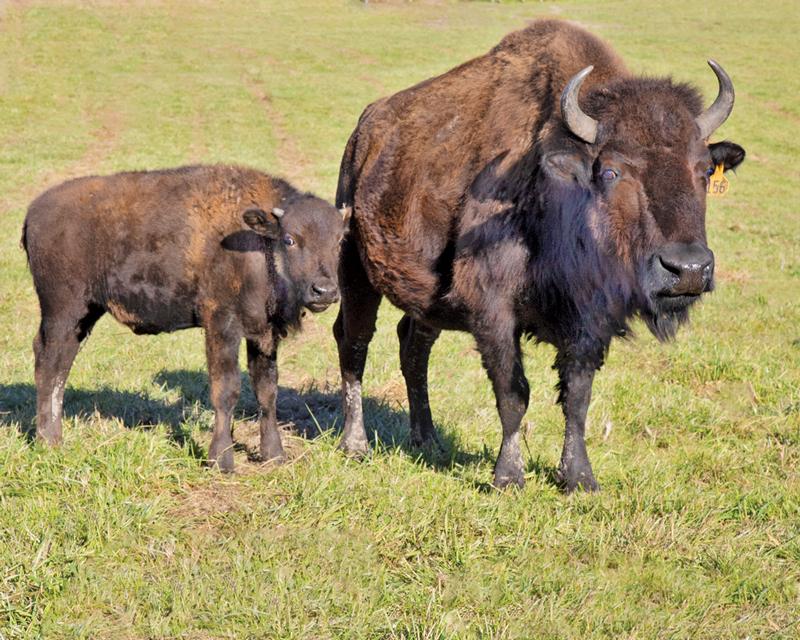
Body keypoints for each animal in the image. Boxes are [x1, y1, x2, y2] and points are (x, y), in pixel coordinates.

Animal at [24, 165, 344, 470]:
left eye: (340, 241)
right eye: (290, 239)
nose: (324, 291)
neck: (259, 244)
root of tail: (33, 213)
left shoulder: (263, 334)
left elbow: (266, 391)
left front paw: (274, 455)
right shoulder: (222, 325)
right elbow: (226, 390)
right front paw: (221, 460)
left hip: (84, 314)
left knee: (61, 365)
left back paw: (54, 438)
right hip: (62, 310)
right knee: (48, 363)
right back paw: (48, 442)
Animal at [332, 20, 744, 490]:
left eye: (703, 170)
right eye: (612, 171)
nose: (688, 268)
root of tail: (365, 132)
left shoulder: (588, 323)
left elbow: (577, 397)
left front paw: (579, 478)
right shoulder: (493, 312)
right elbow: (514, 393)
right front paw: (508, 477)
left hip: (426, 301)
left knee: (413, 347)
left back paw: (429, 441)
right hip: (356, 272)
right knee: (355, 343)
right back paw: (356, 445)